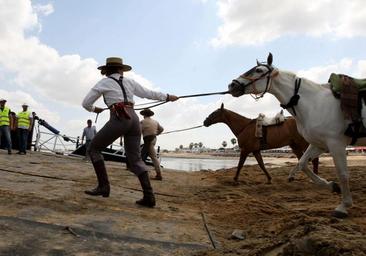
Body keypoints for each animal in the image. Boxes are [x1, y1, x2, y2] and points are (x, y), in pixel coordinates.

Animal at [227, 52, 364, 218]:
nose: (232, 85)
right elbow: (303, 164)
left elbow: (343, 174)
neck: (314, 103)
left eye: (259, 70)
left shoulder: (336, 144)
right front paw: (330, 185)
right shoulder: (320, 144)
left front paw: (344, 205)